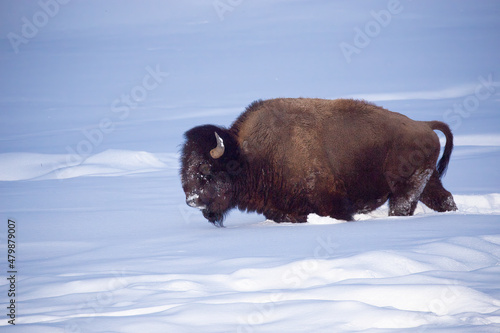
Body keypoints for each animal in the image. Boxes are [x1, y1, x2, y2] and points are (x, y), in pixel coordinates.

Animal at [180, 97, 458, 227]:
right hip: (427, 181)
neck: (248, 155)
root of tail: (424, 125)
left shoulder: (332, 204)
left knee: (404, 206)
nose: (191, 200)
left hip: (405, 189)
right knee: (444, 199)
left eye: (207, 170)